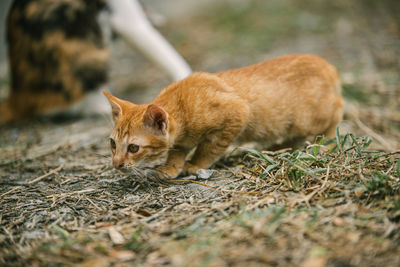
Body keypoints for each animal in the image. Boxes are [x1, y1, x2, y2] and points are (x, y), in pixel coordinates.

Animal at [103, 54, 344, 179]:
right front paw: (171, 167)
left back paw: (327, 143)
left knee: (337, 113)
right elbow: (177, 150)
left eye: (134, 147)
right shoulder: (181, 140)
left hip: (310, 119)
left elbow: (209, 147)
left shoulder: (237, 112)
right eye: (113, 143)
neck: (181, 100)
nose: (116, 164)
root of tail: (328, 65)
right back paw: (277, 147)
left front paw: (195, 164)